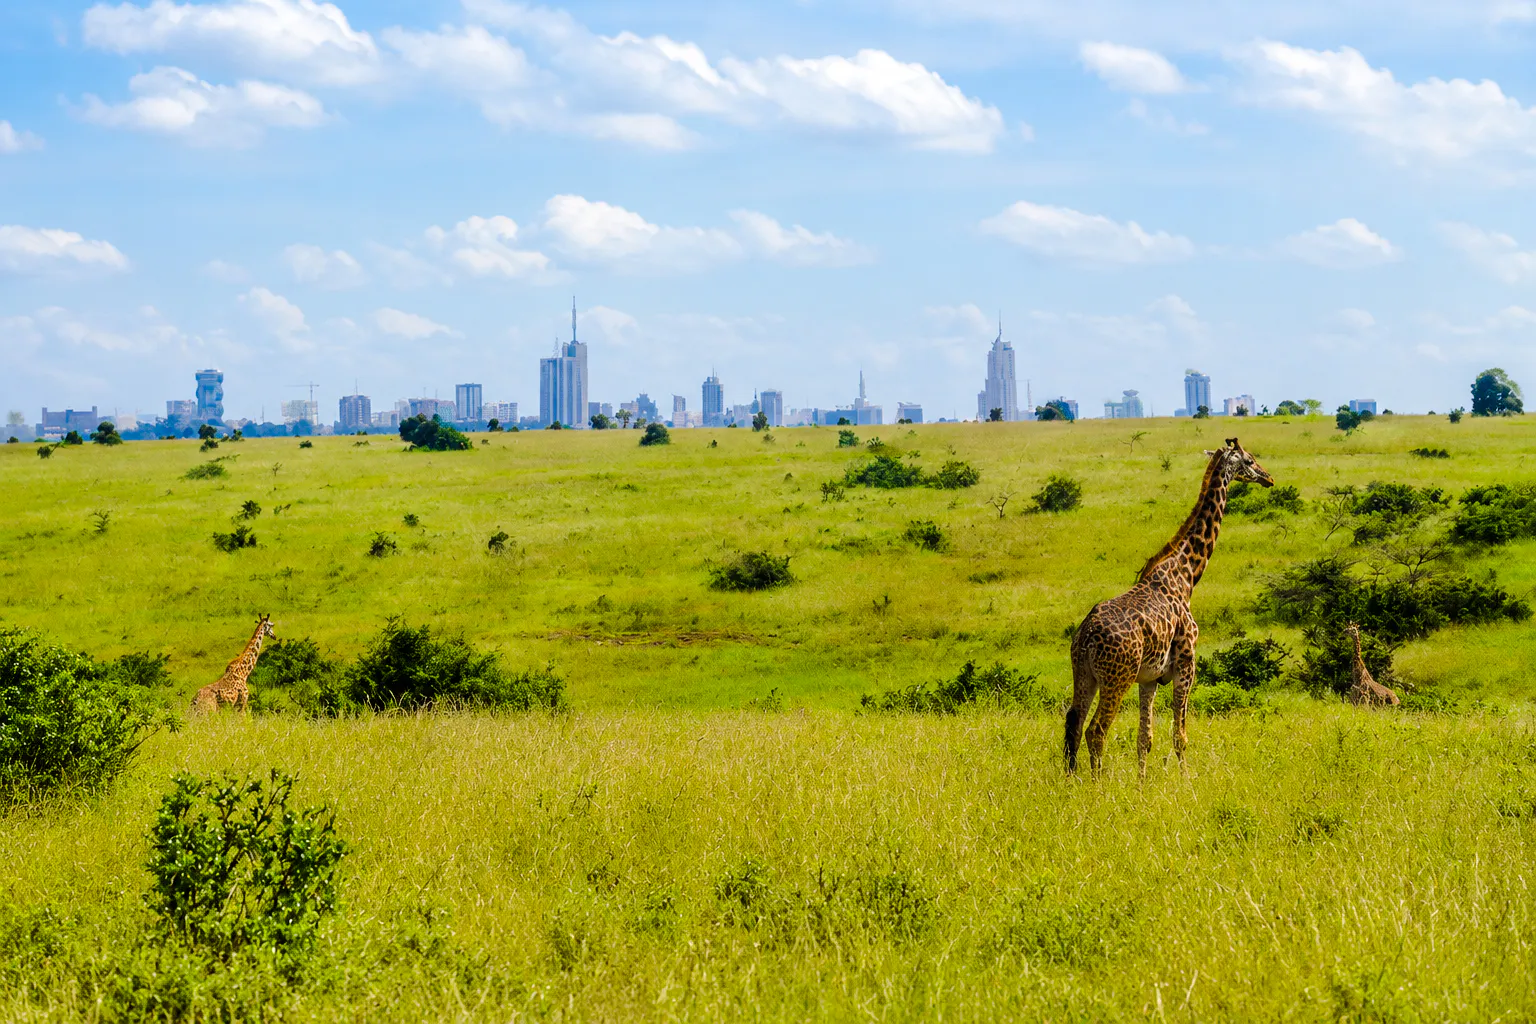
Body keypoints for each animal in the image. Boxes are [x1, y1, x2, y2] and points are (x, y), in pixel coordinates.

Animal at [1064, 439, 1275, 777]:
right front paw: (1186, 779)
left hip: (1084, 673)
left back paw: (1073, 780)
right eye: (1251, 460)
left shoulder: (1149, 678)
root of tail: (1087, 635)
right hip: (1117, 678)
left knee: (1073, 723)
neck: (1186, 575)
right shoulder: (1187, 664)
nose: (1269, 478)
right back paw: (1098, 783)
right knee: (1096, 730)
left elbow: (1144, 739)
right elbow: (1180, 735)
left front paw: (1141, 782)